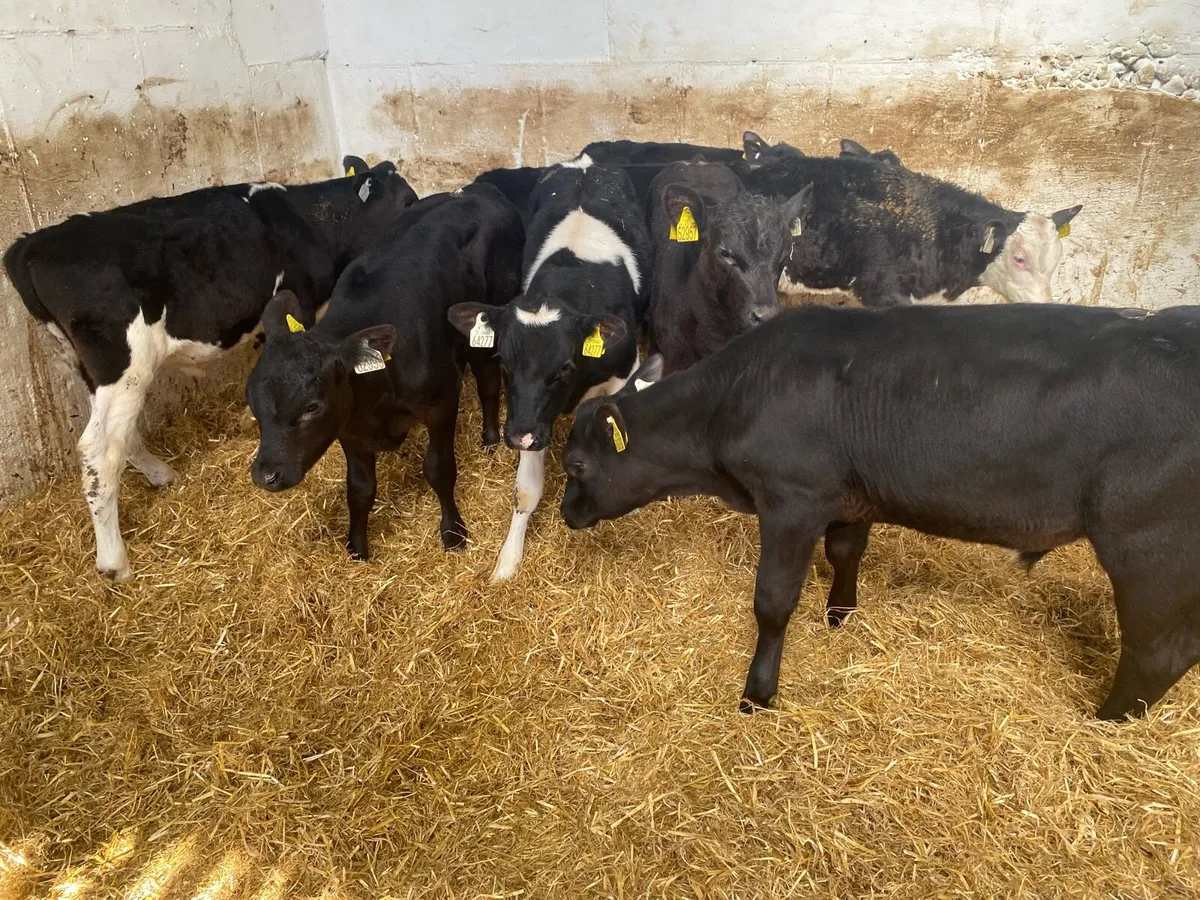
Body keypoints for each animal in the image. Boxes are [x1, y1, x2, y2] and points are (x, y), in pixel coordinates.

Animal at [2, 157, 418, 580]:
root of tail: (29, 245)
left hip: (85, 366)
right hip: (124, 363)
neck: (309, 219)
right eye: (407, 200)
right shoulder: (298, 304)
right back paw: (115, 562)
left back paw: (160, 475)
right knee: (99, 449)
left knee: (120, 436)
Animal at [247, 183, 524, 559]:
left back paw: (491, 438)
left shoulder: (441, 401)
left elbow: (438, 469)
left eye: (312, 407)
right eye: (252, 404)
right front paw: (357, 547)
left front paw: (453, 531)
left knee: (488, 381)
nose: (266, 476)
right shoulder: (349, 427)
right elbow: (360, 489)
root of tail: (478, 189)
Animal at [447, 160, 652, 582]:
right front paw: (508, 560)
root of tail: (585, 164)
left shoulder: (622, 375)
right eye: (503, 363)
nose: (517, 437)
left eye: (564, 367)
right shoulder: (531, 418)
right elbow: (526, 490)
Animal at [559, 303, 1200, 721]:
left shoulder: (792, 499)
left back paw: (1108, 721)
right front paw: (840, 613)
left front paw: (758, 693)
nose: (565, 515)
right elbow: (846, 551)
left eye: (577, 466)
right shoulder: (850, 495)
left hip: (1147, 546)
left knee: (1158, 650)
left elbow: (772, 602)